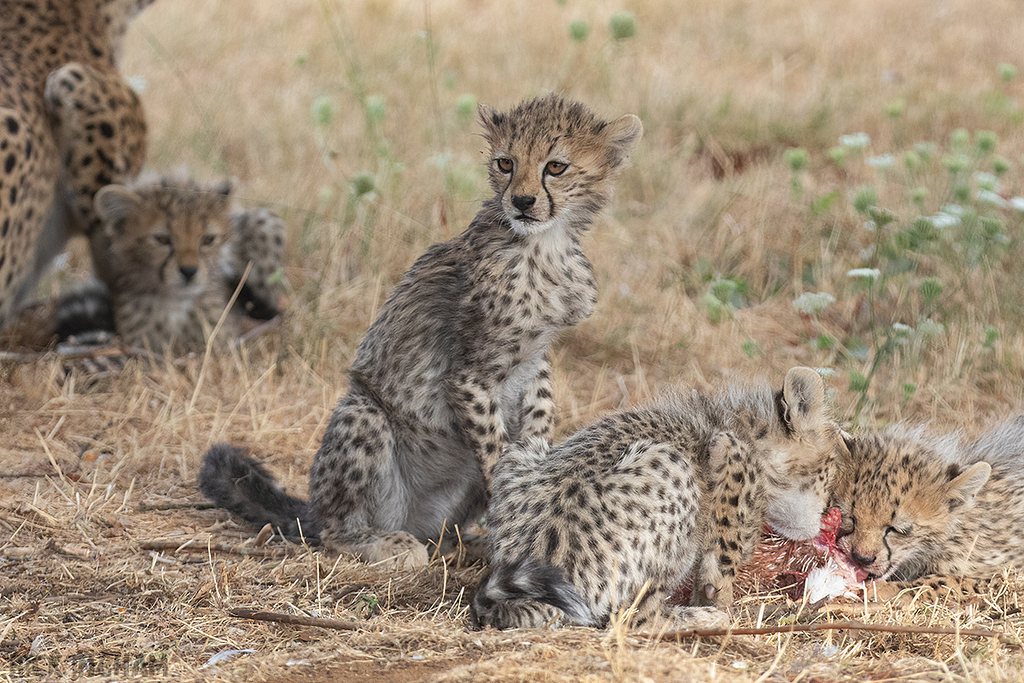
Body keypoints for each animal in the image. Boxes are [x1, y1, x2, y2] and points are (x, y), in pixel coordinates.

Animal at [199, 94, 643, 570]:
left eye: (555, 167)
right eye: (506, 162)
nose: (522, 201)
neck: (546, 243)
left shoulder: (536, 359)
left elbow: (537, 426)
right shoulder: (468, 374)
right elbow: (497, 450)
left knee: (438, 533)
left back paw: (459, 544)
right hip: (365, 415)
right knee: (334, 530)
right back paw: (383, 543)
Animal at [469, 366, 843, 630]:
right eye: (835, 465)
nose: (833, 517)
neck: (749, 433)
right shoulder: (728, 451)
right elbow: (722, 562)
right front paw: (720, 605)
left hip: (523, 450)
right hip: (672, 464)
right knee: (637, 619)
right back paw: (703, 621)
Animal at [833, 418, 1024, 596]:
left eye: (899, 530)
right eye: (850, 517)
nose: (861, 559)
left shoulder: (1001, 574)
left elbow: (938, 582)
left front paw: (883, 591)